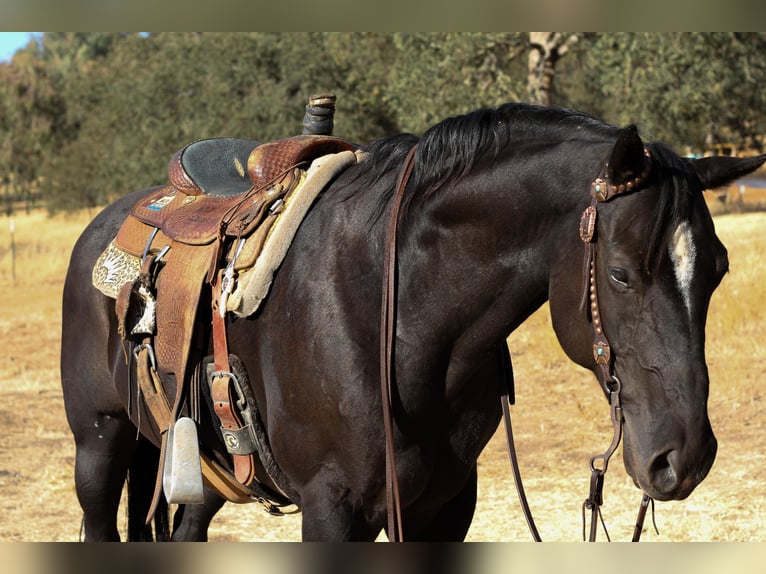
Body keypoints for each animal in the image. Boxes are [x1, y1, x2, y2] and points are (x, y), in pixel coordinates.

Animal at [61, 102, 766, 541]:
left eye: (718, 271)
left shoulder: (446, 504)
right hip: (100, 443)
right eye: (620, 274)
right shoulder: (332, 508)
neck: (396, 318)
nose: (685, 457)